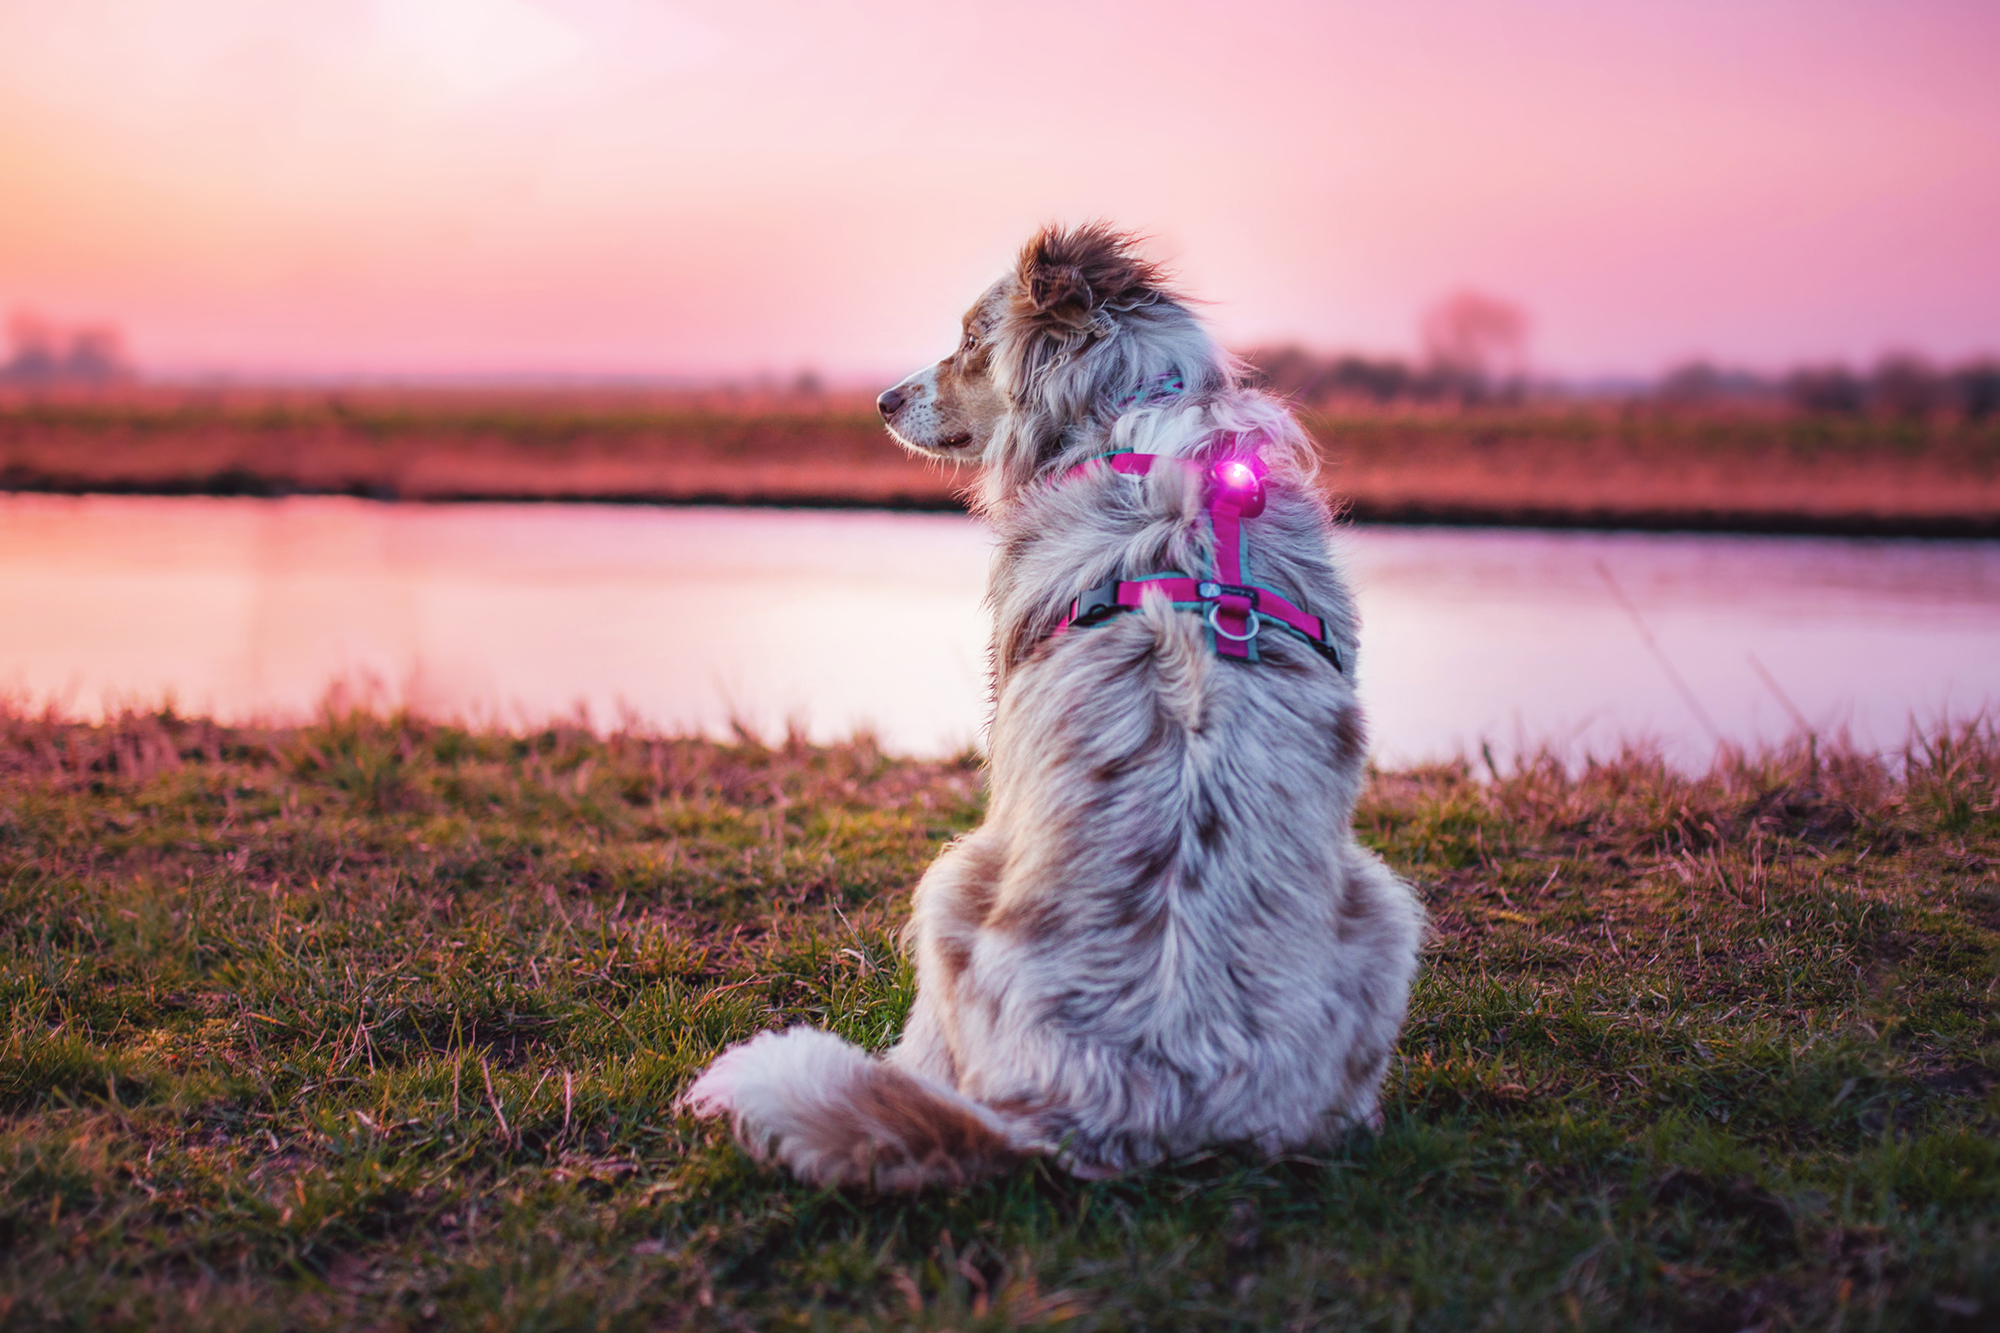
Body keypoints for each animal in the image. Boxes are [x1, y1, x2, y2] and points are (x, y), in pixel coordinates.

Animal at [688, 226, 1424, 1184]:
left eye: (973, 338)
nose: (882, 400)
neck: (1121, 415)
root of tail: (1117, 1107)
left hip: (953, 883)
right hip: (1380, 907)